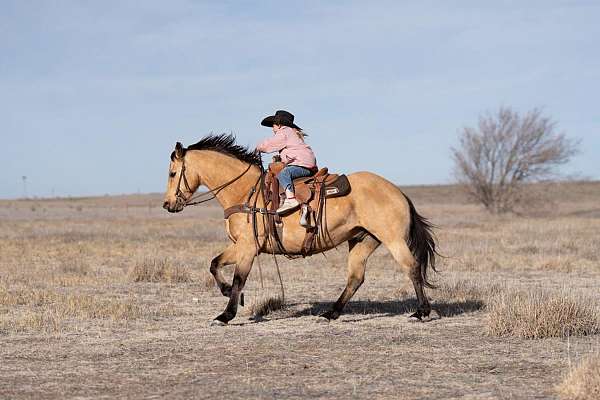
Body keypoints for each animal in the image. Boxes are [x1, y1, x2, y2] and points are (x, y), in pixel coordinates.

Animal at [162, 134, 438, 324]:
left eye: (173, 173)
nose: (167, 204)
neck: (244, 192)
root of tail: (398, 191)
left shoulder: (248, 248)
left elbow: (239, 277)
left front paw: (225, 314)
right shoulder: (240, 246)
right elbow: (215, 264)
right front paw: (231, 294)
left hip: (393, 240)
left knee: (412, 267)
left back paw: (421, 312)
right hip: (363, 240)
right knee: (355, 278)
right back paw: (330, 313)